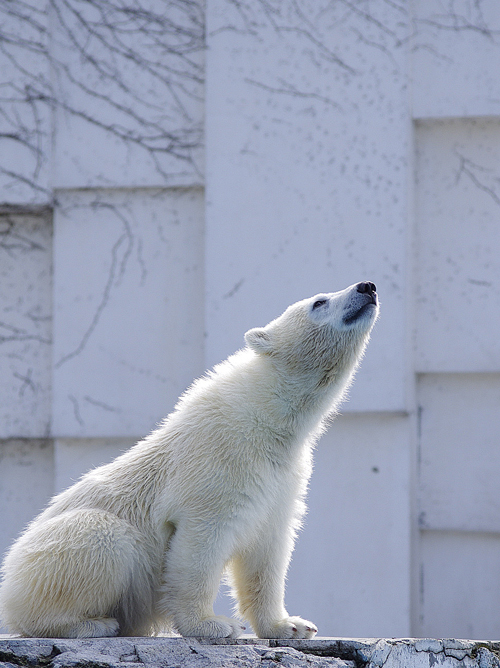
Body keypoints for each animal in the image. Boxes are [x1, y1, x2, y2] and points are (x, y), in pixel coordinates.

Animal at [0, 280, 378, 640]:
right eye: (319, 302)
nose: (367, 287)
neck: (267, 415)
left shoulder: (282, 477)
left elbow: (267, 550)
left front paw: (290, 625)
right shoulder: (217, 461)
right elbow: (200, 543)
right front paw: (212, 624)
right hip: (42, 558)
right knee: (101, 534)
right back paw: (91, 624)